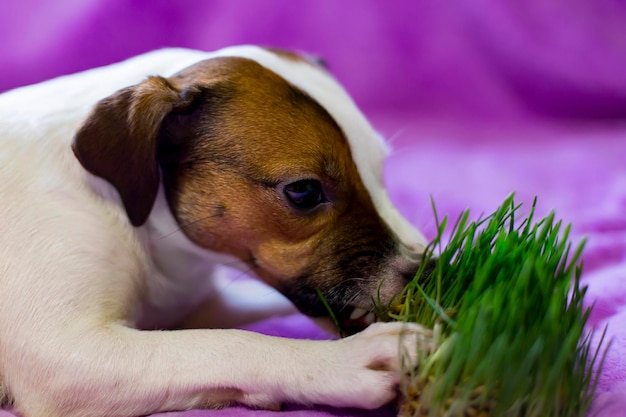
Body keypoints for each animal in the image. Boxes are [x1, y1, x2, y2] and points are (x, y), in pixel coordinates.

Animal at [0, 46, 426, 416]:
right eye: (304, 191)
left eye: (380, 169)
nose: (428, 271)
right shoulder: (67, 355)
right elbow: (229, 343)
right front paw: (345, 361)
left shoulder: (200, 305)